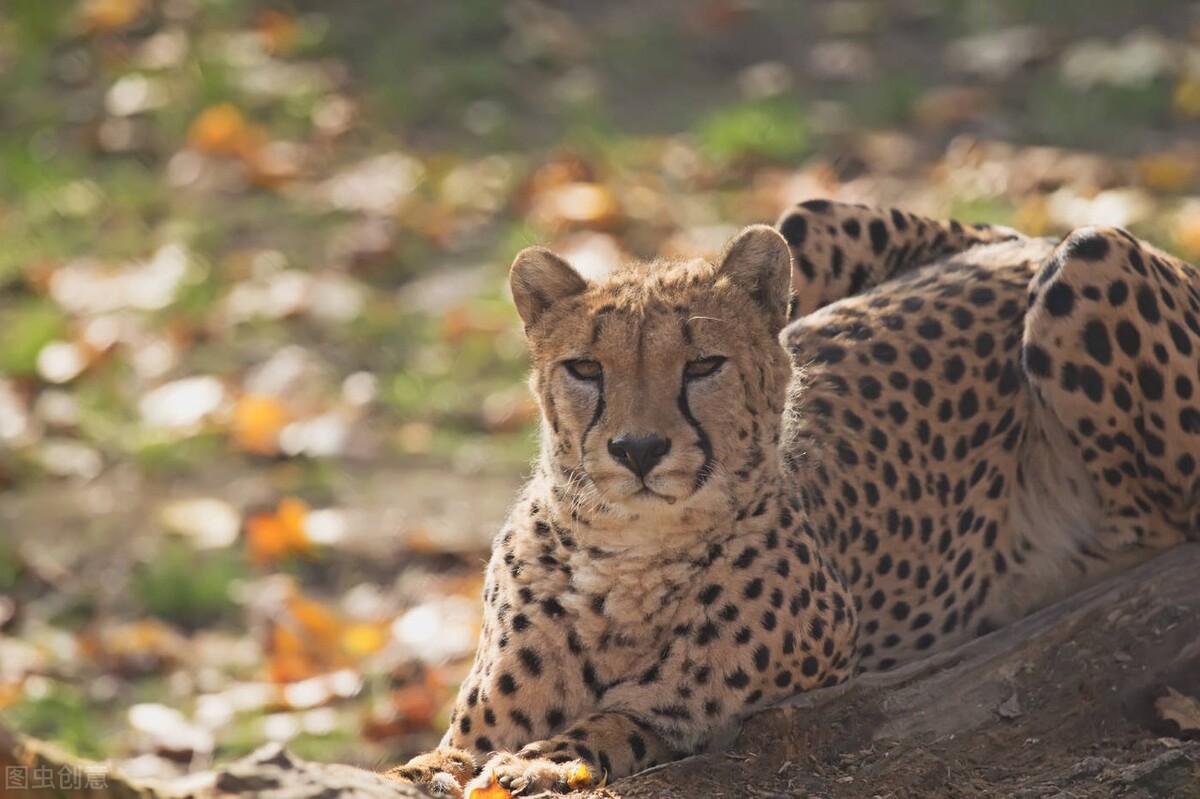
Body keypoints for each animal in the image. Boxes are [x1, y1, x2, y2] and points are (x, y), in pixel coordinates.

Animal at [386, 200, 1200, 796]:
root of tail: (1025, 240)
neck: (630, 554)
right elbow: (427, 761)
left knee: (1161, 532)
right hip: (807, 220)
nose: (639, 449)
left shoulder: (743, 713)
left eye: (703, 365)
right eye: (585, 368)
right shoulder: (473, 728)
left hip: (1090, 258)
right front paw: (433, 769)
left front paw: (546, 759)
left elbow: (617, 721)